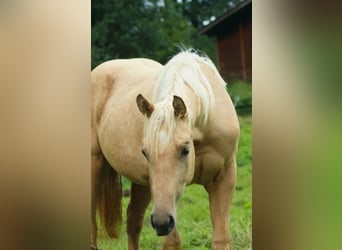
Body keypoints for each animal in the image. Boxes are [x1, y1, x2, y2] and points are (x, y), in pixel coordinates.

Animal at [91, 49, 240, 249]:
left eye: (185, 149)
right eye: (145, 153)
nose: (161, 222)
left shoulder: (224, 177)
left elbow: (221, 237)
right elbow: (172, 242)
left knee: (133, 220)